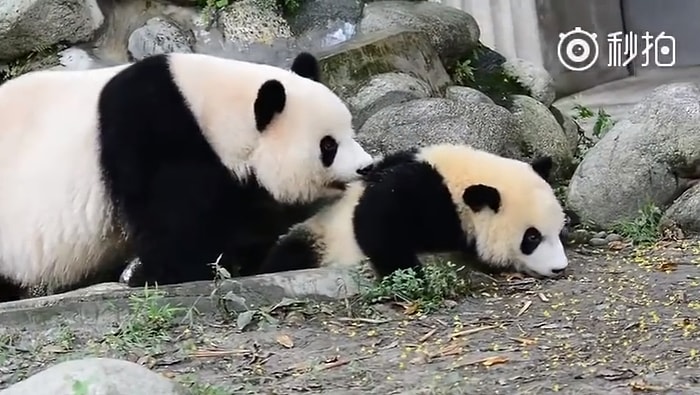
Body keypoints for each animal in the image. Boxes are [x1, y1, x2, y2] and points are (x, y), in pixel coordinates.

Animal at [0, 51, 374, 302]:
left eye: (350, 131)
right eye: (328, 145)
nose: (366, 167)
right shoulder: (155, 134)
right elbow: (178, 228)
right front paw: (162, 275)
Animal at [256, 144, 568, 280]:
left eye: (558, 231)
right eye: (532, 238)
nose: (559, 268)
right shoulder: (428, 195)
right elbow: (377, 218)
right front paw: (409, 272)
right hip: (321, 236)